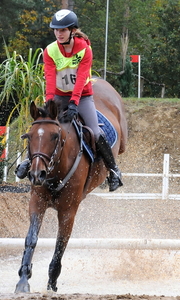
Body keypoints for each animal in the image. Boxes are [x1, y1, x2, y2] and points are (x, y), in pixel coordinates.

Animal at [15, 77, 128, 292]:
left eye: (55, 136)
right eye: (29, 136)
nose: (36, 174)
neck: (55, 171)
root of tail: (99, 80)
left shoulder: (68, 211)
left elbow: (60, 244)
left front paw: (52, 282)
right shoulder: (37, 201)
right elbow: (31, 238)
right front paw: (23, 280)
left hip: (122, 142)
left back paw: (114, 176)